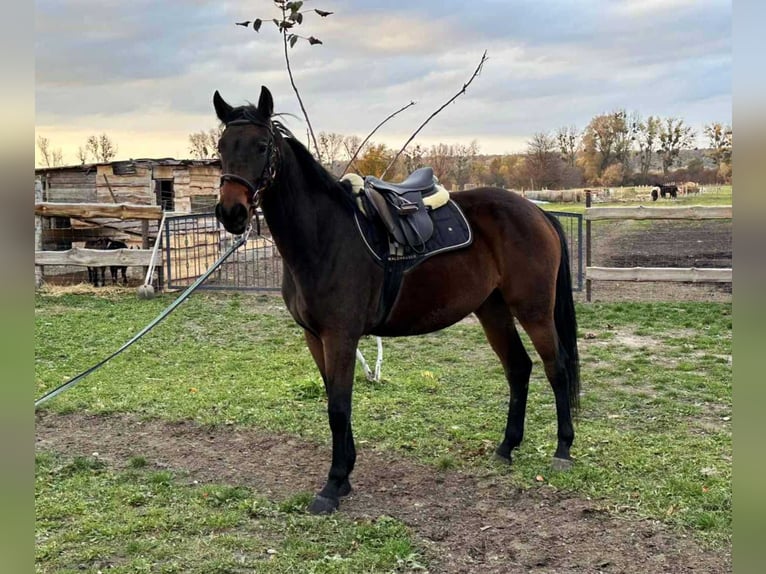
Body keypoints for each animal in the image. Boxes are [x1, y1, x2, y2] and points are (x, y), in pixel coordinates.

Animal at [213, 86, 581, 514]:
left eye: (261, 146)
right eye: (221, 147)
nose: (231, 213)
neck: (324, 235)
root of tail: (537, 212)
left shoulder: (340, 336)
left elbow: (339, 407)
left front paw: (332, 485)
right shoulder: (315, 337)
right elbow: (334, 401)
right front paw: (344, 475)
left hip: (533, 309)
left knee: (556, 367)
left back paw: (563, 450)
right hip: (492, 309)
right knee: (519, 368)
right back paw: (506, 447)